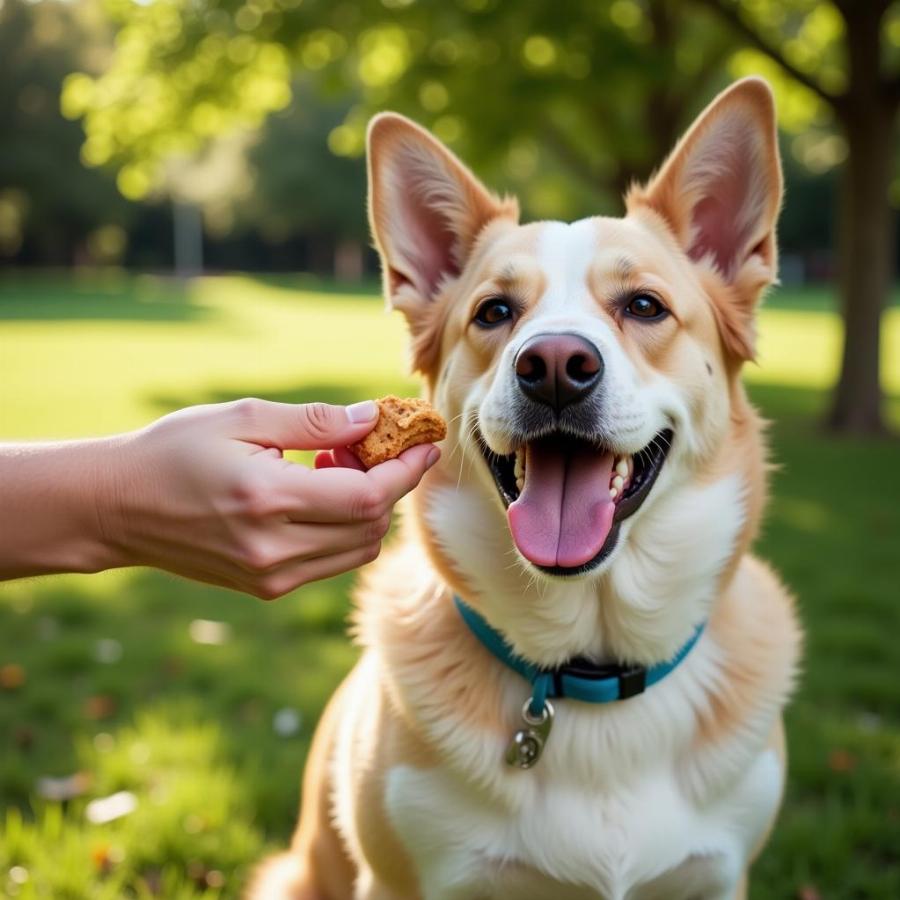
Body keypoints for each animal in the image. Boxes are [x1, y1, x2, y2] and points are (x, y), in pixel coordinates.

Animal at [248, 77, 800, 900]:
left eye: (644, 306)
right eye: (495, 312)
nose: (555, 366)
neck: (590, 667)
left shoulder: (720, 878)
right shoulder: (401, 882)